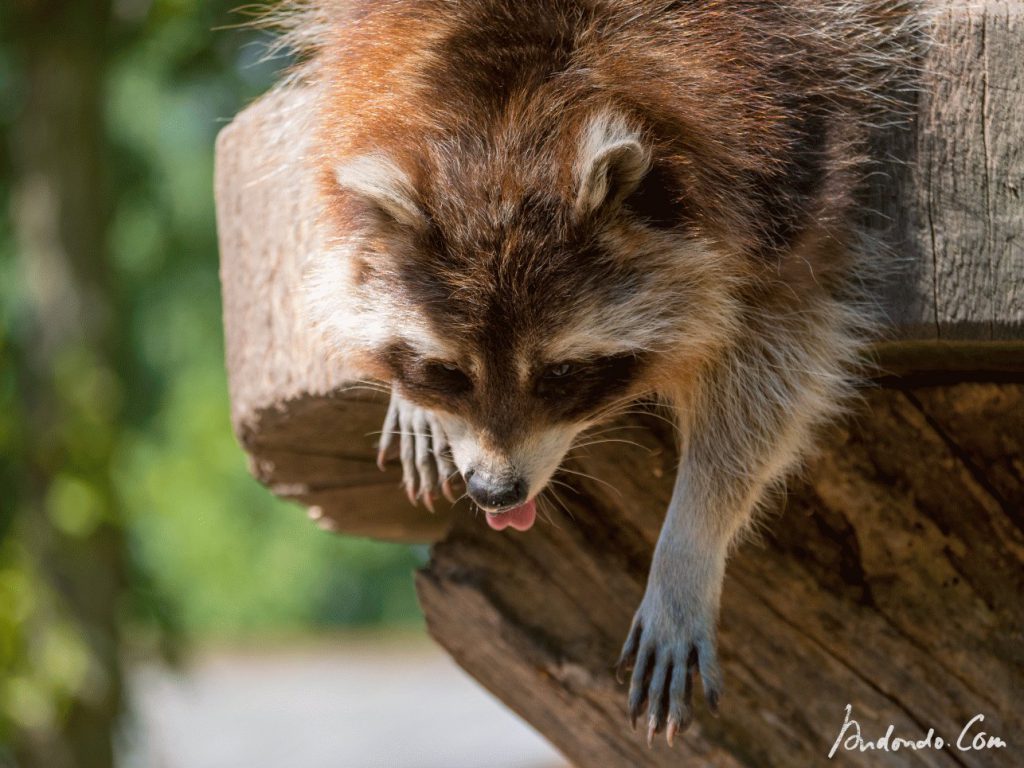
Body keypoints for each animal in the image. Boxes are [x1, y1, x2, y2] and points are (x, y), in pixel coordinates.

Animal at [280, 0, 921, 749]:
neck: (507, 110)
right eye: (447, 372)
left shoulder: (789, 138)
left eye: (560, 374)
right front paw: (410, 401)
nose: (496, 492)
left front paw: (690, 541)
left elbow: (775, 354)